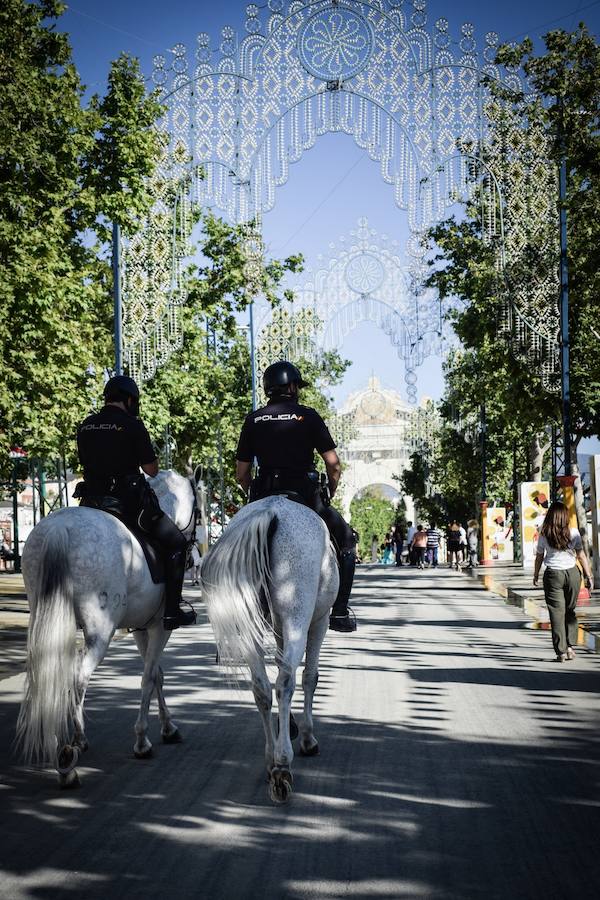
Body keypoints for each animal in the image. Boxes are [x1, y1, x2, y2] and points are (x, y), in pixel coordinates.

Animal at [15, 472, 197, 788]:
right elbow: (149, 677)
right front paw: (142, 741)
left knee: (47, 674)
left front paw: (169, 727)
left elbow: (158, 675)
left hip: (46, 620)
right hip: (100, 630)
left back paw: (64, 745)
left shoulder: (141, 627)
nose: (196, 549)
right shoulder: (160, 627)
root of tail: (59, 529)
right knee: (77, 677)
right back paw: (67, 757)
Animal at [200, 496, 338, 804]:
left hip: (249, 623)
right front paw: (307, 737)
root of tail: (272, 511)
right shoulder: (320, 621)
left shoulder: (276, 627)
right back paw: (283, 764)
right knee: (285, 682)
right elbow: (310, 677)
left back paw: (270, 759)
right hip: (297, 614)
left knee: (262, 687)